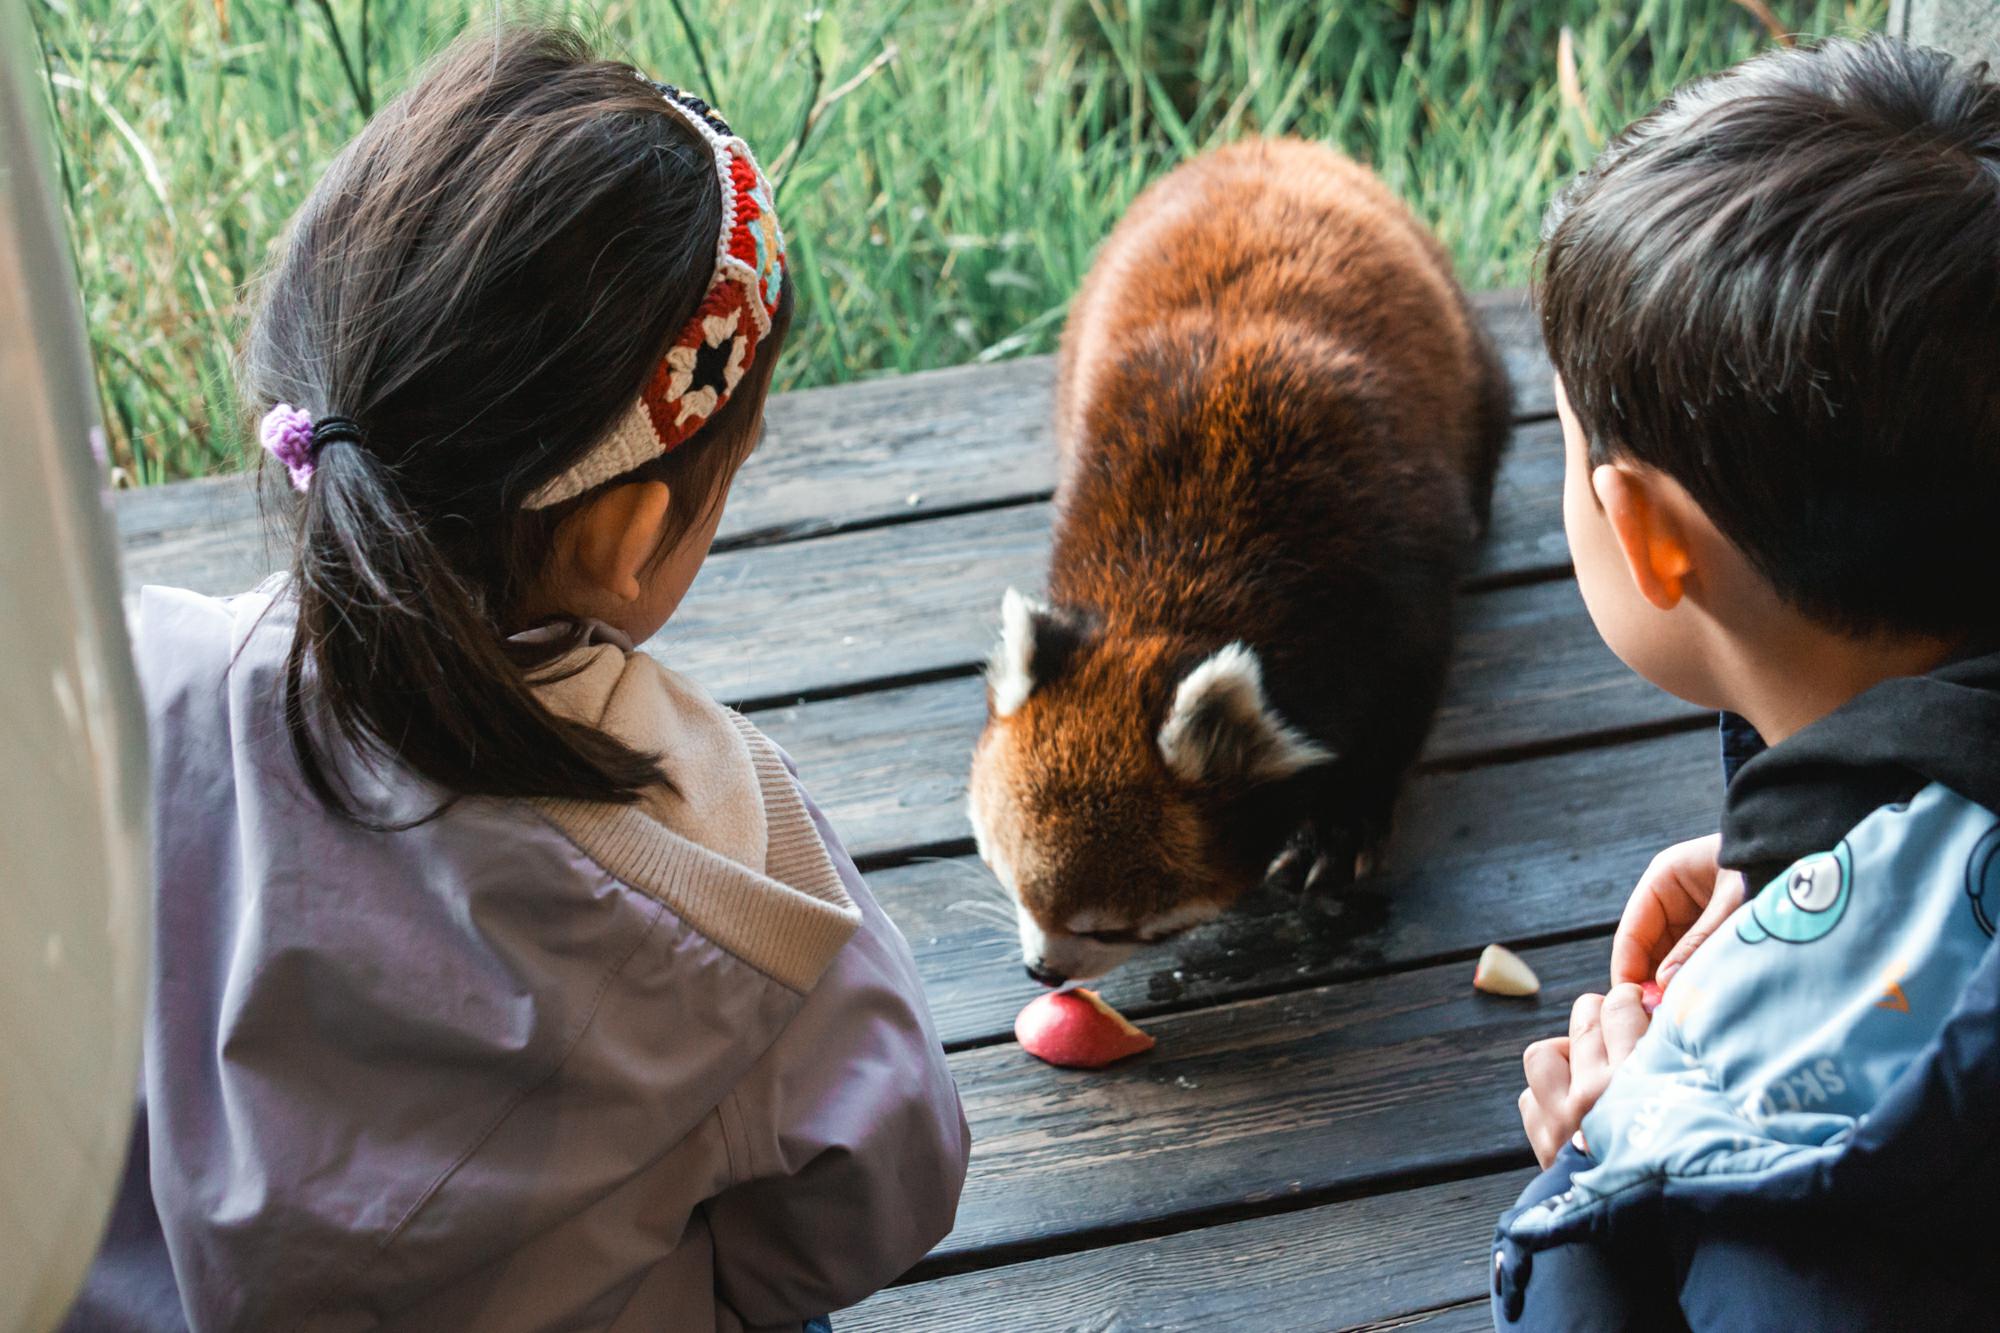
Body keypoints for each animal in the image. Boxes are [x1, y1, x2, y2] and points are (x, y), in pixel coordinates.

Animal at [964, 140, 1504, 980]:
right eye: (1007, 877)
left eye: (1110, 926)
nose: (1041, 969)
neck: (1170, 592)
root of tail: (1267, 145)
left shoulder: (1391, 569)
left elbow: (1398, 702)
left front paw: (1340, 826)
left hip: (1457, 334)